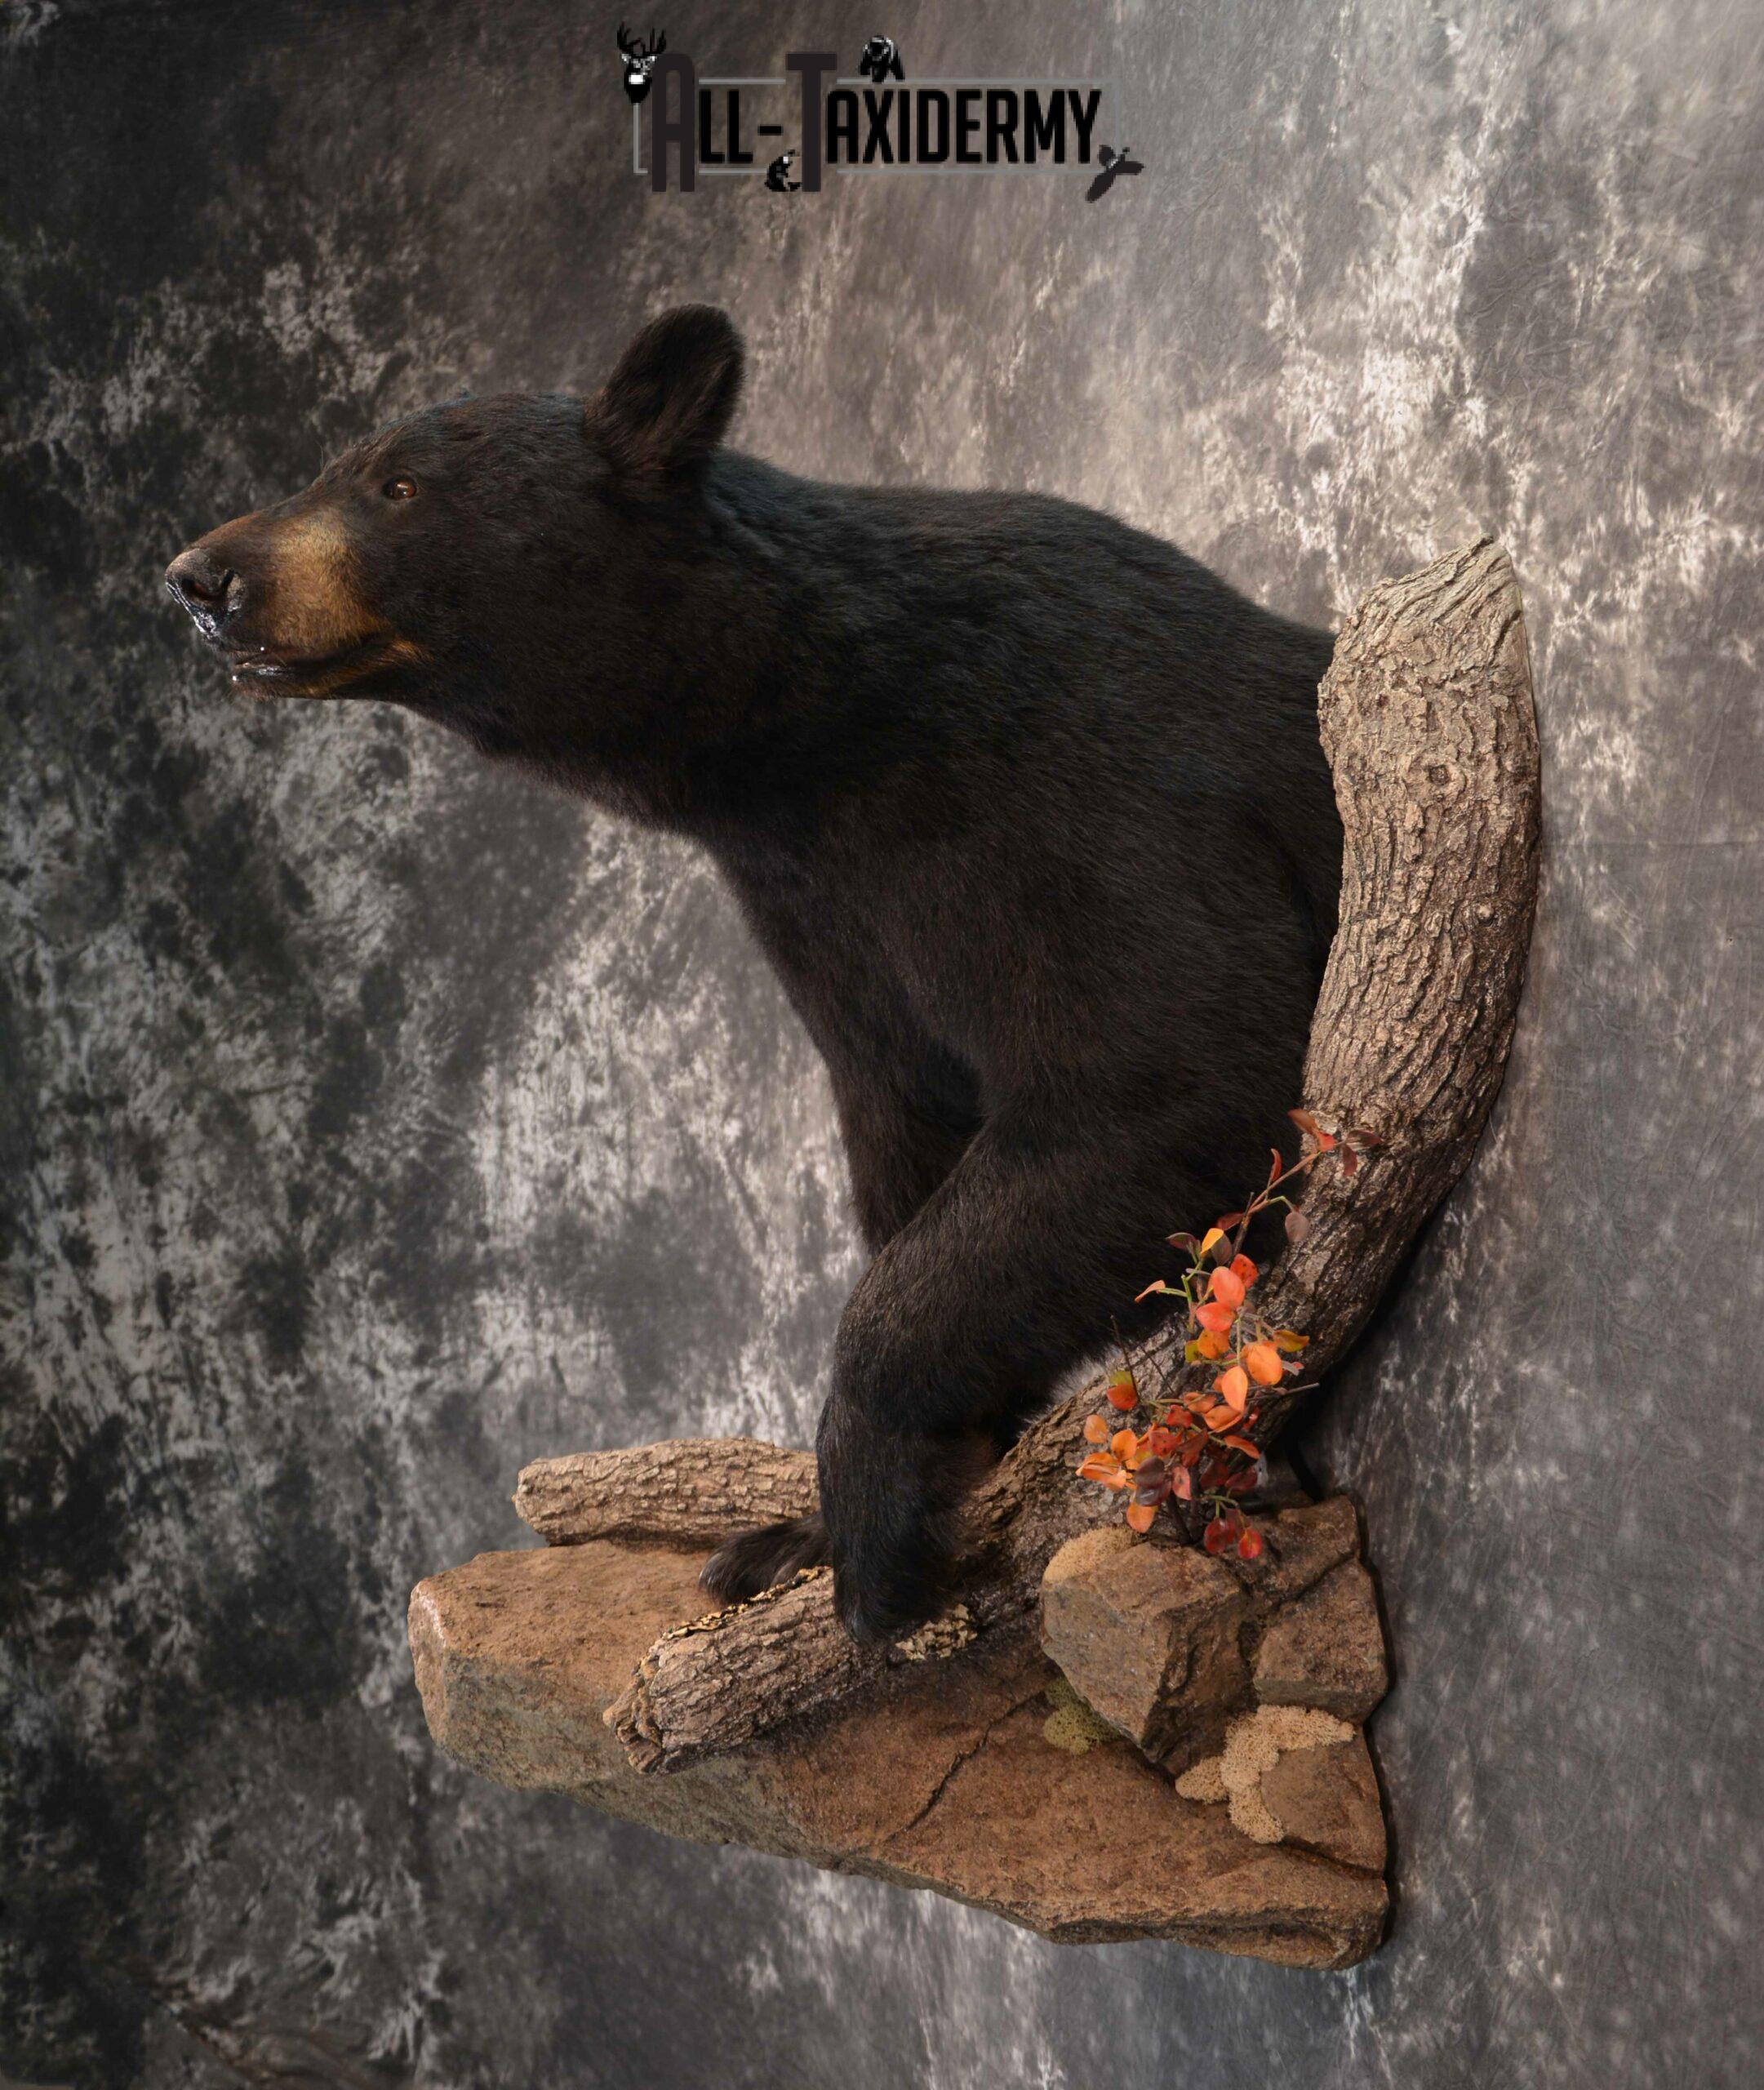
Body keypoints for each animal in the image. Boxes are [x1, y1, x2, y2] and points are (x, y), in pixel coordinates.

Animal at [165, 305, 1342, 1644]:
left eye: (398, 485)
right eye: (331, 466)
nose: (201, 578)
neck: (814, 730)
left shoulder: (1069, 781)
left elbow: (1161, 1066)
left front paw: (867, 1516)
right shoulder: (824, 912)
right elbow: (907, 1129)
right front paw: (813, 1527)